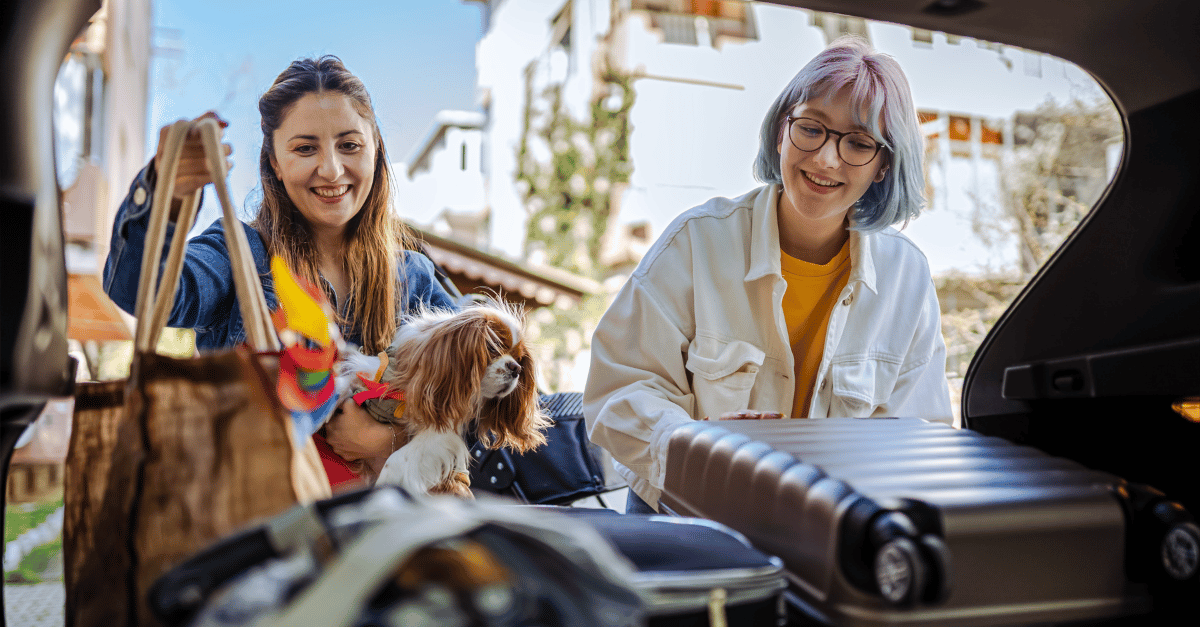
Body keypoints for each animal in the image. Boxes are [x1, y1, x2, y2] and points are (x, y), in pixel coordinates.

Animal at [340, 295, 549, 494]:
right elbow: (346, 379)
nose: (516, 368)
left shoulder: (441, 433)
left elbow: (397, 460)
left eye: (519, 359)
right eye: (493, 347)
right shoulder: (372, 375)